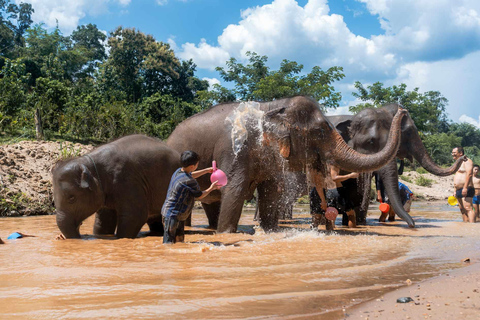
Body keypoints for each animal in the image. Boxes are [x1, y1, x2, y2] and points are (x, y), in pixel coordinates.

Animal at [52, 134, 180, 238]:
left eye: (71, 198)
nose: (80, 236)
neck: (88, 162)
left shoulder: (127, 180)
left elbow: (136, 215)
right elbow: (105, 220)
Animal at [167, 95, 406, 232]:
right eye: (320, 131)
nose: (402, 109)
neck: (271, 107)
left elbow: (270, 192)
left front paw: (270, 231)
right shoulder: (234, 149)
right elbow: (234, 191)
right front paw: (226, 234)